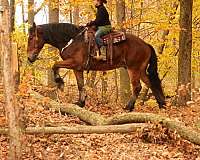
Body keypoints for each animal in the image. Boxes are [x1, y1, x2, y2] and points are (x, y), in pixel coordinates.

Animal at [27, 22, 166, 111]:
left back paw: (129, 107)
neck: (72, 40)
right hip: (141, 70)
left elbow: (55, 65)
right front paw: (81, 103)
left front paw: (59, 82)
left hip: (134, 69)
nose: (29, 58)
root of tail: (146, 44)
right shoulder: (77, 68)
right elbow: (80, 85)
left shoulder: (73, 62)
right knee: (151, 83)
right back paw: (161, 105)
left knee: (137, 87)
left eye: (32, 37)